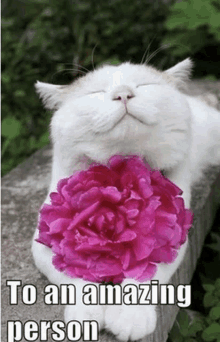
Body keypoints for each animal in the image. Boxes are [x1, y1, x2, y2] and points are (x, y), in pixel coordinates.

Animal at [31, 58, 219, 340]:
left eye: (143, 85)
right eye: (96, 92)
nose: (123, 94)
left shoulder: (172, 234)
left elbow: (147, 273)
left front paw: (131, 316)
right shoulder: (45, 239)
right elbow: (68, 273)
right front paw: (86, 312)